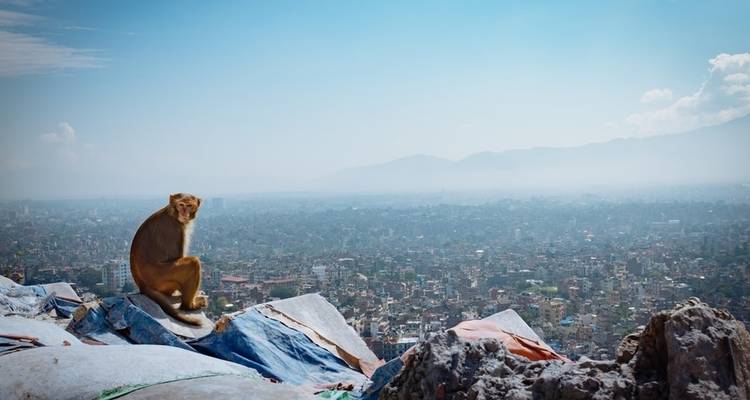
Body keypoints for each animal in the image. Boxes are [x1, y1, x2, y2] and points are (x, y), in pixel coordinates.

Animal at [130, 193, 207, 326]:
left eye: (189, 206)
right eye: (181, 205)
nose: (184, 212)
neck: (173, 214)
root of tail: (142, 286)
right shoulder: (176, 230)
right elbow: (178, 257)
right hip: (161, 281)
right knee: (193, 263)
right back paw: (188, 306)